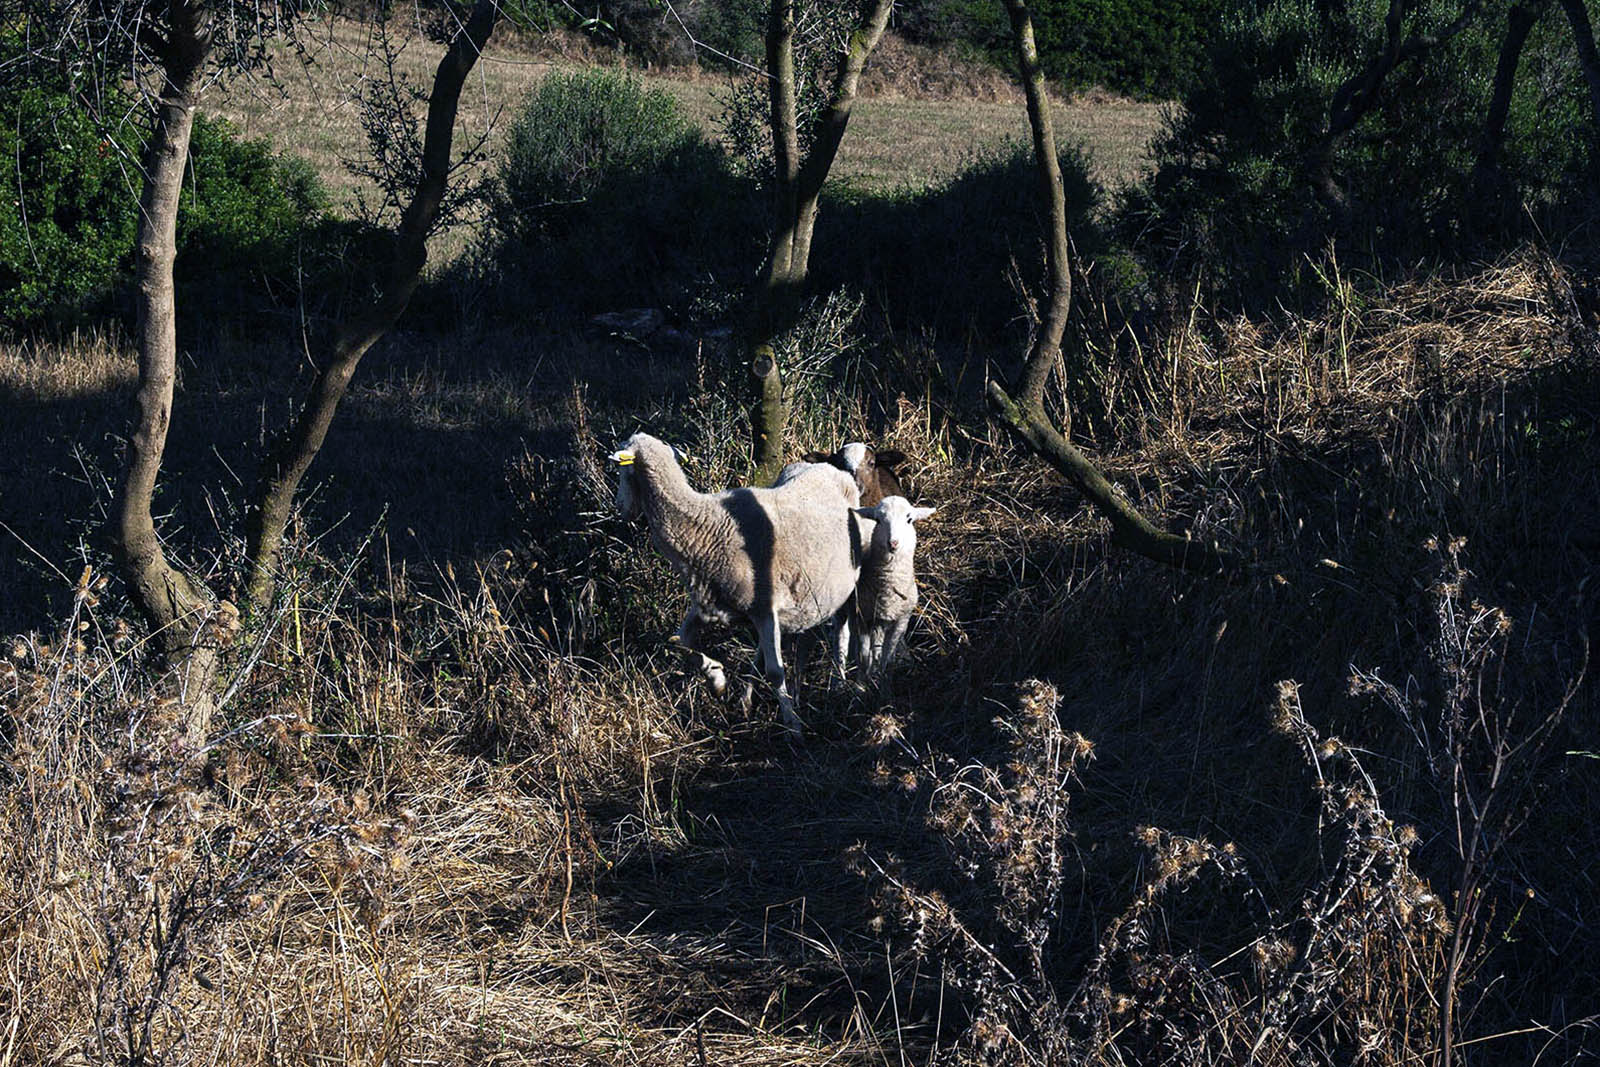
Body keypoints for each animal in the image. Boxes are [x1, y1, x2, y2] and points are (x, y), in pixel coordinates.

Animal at [608, 431, 864, 735]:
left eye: (621, 471)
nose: (621, 509)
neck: (706, 524)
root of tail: (833, 469)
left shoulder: (764, 609)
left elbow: (776, 672)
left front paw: (793, 727)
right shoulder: (713, 605)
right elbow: (682, 641)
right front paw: (716, 679)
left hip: (848, 583)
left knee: (841, 631)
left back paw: (839, 684)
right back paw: (751, 698)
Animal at [844, 495, 934, 681]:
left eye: (909, 519)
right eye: (878, 520)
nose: (893, 543)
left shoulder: (901, 619)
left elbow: (888, 654)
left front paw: (884, 678)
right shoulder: (863, 617)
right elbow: (864, 657)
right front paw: (861, 683)